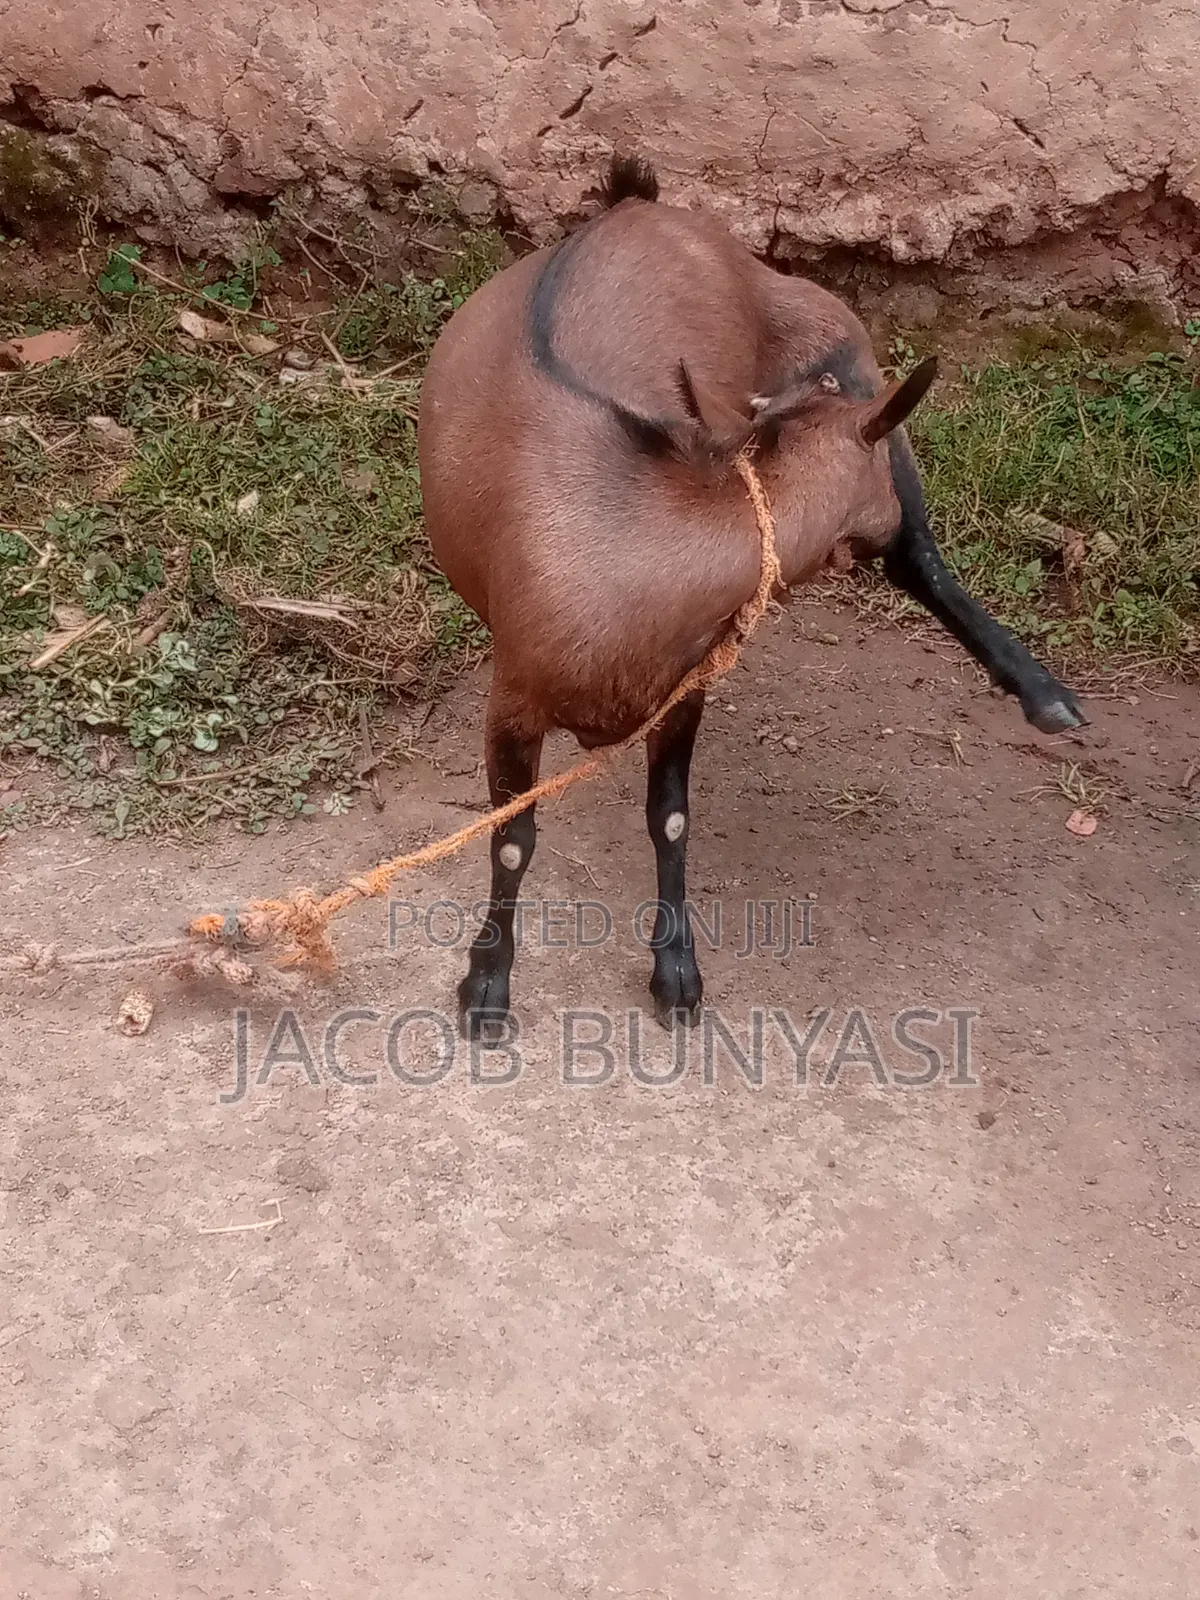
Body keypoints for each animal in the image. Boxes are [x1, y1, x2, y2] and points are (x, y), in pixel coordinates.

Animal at [418, 156, 1083, 1040]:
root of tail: (638, 207)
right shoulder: (514, 698)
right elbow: (511, 839)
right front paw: (488, 986)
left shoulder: (687, 685)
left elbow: (669, 815)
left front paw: (676, 971)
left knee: (920, 558)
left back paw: (1042, 693)